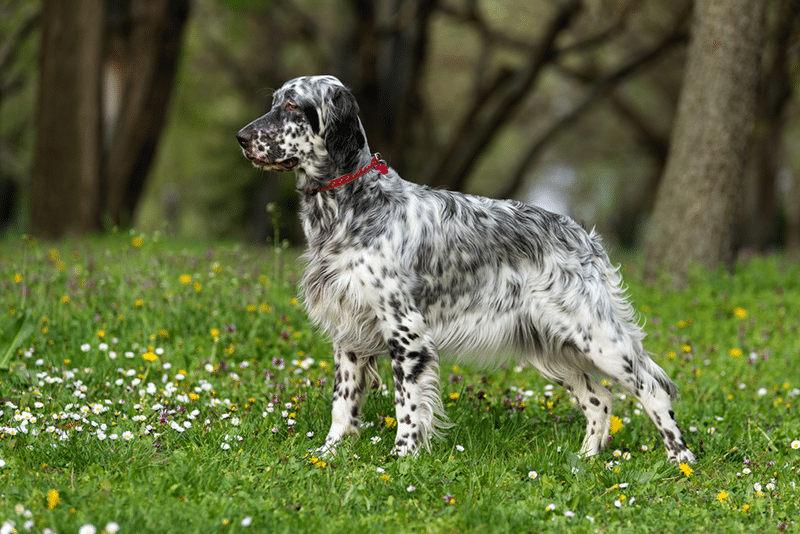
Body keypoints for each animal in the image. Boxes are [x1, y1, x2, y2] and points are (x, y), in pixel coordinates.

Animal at [236, 74, 692, 464]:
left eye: (292, 105)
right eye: (274, 102)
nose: (240, 138)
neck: (352, 206)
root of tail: (583, 235)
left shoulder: (406, 332)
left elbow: (407, 405)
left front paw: (402, 458)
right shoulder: (348, 333)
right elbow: (342, 405)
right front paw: (329, 454)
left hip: (596, 338)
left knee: (652, 388)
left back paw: (681, 460)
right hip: (549, 347)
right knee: (600, 399)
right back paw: (586, 459)